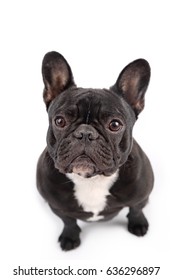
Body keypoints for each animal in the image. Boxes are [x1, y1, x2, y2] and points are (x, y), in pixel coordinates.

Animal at [36, 51, 154, 250]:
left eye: (115, 124)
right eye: (60, 121)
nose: (85, 133)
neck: (91, 179)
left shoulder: (141, 196)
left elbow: (136, 209)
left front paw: (138, 224)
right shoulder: (57, 206)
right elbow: (68, 221)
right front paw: (70, 237)